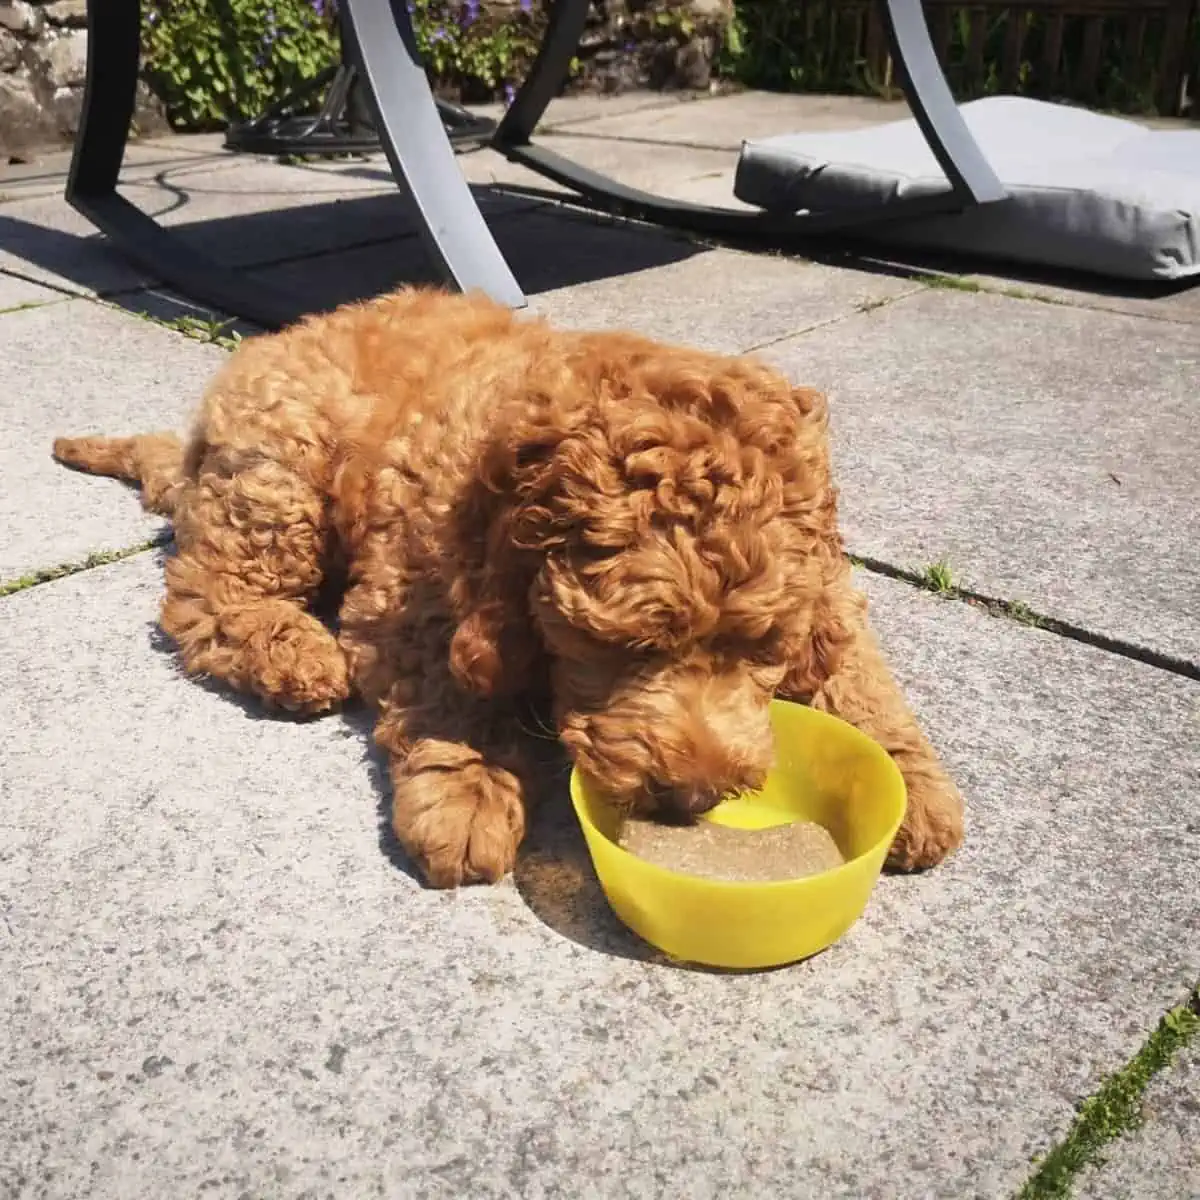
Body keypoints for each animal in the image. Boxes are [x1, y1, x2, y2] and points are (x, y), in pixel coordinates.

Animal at [54, 285, 964, 888]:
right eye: (624, 645)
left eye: (761, 646)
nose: (694, 796)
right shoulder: (412, 589)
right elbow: (454, 686)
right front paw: (469, 793)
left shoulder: (829, 586)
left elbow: (856, 673)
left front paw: (911, 787)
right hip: (280, 472)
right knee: (203, 593)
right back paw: (294, 653)